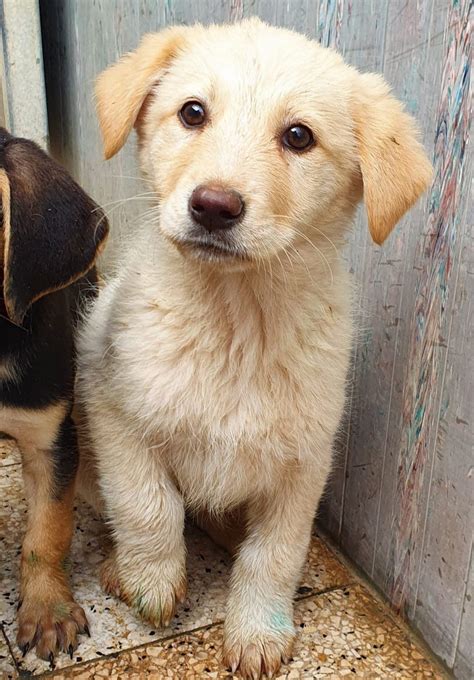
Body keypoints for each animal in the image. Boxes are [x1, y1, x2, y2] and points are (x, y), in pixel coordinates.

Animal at [78, 19, 434, 680]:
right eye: (192, 112)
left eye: (299, 136)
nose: (213, 207)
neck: (235, 321)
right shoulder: (117, 414)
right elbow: (148, 506)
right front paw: (152, 581)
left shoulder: (304, 463)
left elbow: (274, 554)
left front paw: (259, 631)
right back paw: (120, 566)